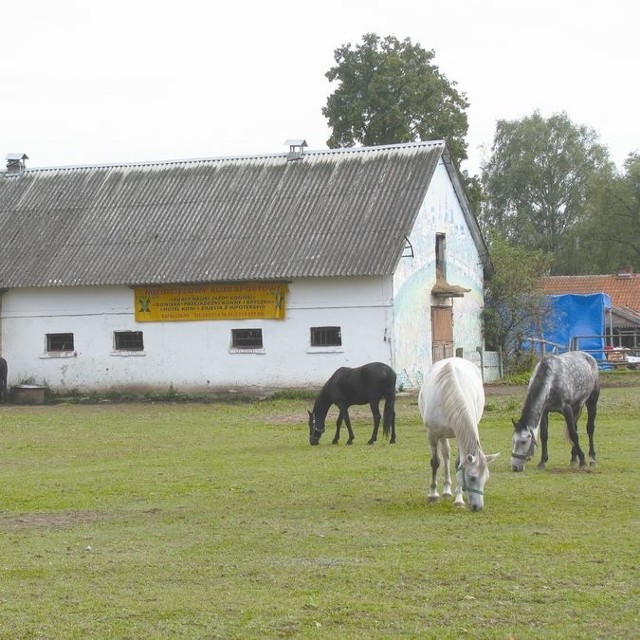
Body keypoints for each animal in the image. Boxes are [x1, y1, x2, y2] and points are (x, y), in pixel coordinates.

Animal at [418, 358, 502, 512]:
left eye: (486, 478)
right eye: (472, 477)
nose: (478, 507)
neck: (448, 392)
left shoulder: (459, 435)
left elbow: (458, 464)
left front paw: (458, 499)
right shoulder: (432, 434)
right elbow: (435, 462)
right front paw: (433, 494)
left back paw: (448, 491)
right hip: (442, 434)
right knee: (444, 455)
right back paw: (444, 491)